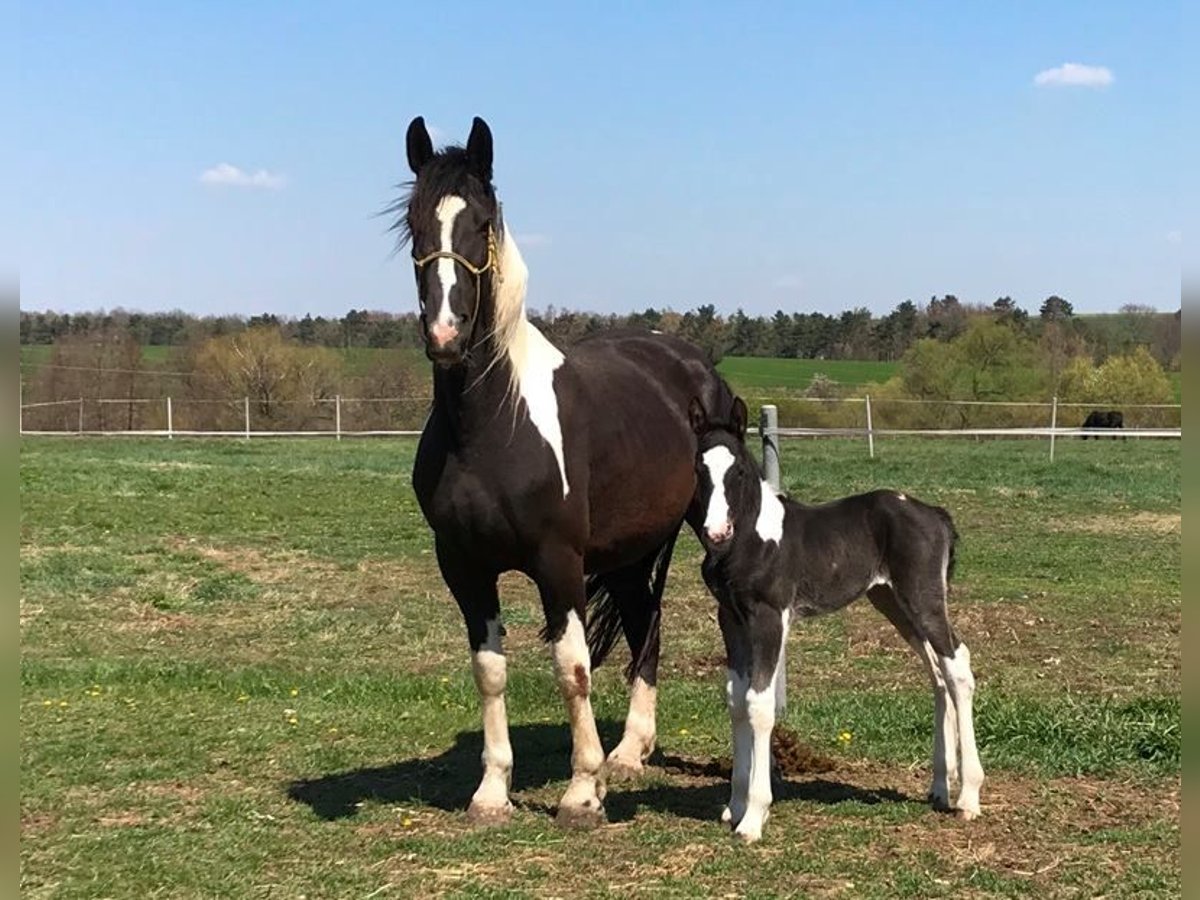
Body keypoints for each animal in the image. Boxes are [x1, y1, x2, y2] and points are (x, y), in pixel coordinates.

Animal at [398, 116, 734, 830]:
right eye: (412, 222)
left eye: (481, 223)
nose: (445, 334)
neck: (491, 426)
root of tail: (688, 360)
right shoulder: (463, 567)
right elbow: (490, 671)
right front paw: (491, 792)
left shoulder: (558, 562)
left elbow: (572, 669)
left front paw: (582, 792)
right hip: (634, 552)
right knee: (644, 622)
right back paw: (630, 752)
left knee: (650, 628)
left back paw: (623, 756)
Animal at [686, 398, 984, 844]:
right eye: (699, 467)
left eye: (737, 470)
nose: (716, 531)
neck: (752, 536)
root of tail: (936, 514)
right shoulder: (731, 619)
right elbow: (736, 700)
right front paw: (733, 806)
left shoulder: (769, 617)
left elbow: (759, 704)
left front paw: (753, 817)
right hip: (892, 601)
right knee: (937, 673)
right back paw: (939, 787)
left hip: (923, 597)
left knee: (958, 667)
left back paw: (968, 797)